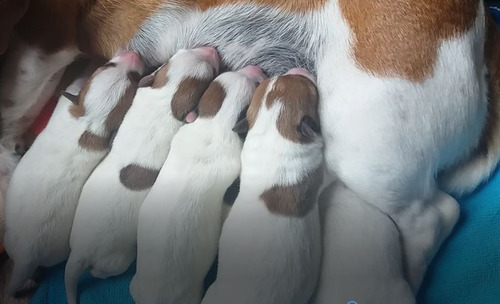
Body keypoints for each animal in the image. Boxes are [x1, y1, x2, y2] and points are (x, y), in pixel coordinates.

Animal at [2, 51, 143, 296]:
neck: (90, 122)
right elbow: (76, 84)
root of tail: (26, 257)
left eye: (135, 78)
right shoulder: (69, 104)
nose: (133, 53)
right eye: (109, 65)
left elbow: (75, 83)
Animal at [63, 47, 220, 304]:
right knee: (102, 271)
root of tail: (80, 253)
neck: (168, 95)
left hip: (75, 235)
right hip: (117, 260)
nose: (212, 49)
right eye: (212, 74)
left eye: (185, 49)